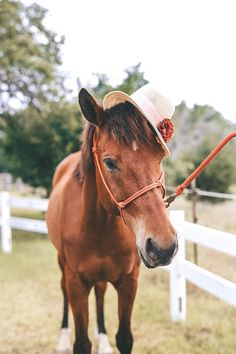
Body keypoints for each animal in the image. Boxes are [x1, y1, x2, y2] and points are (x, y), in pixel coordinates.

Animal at [46, 88, 177, 354]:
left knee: (100, 293)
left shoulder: (128, 282)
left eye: (160, 159)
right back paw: (63, 337)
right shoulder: (77, 283)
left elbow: (124, 337)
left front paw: (107, 339)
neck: (100, 227)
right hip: (62, 264)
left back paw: (103, 340)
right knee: (63, 289)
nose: (163, 247)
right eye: (109, 162)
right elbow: (81, 343)